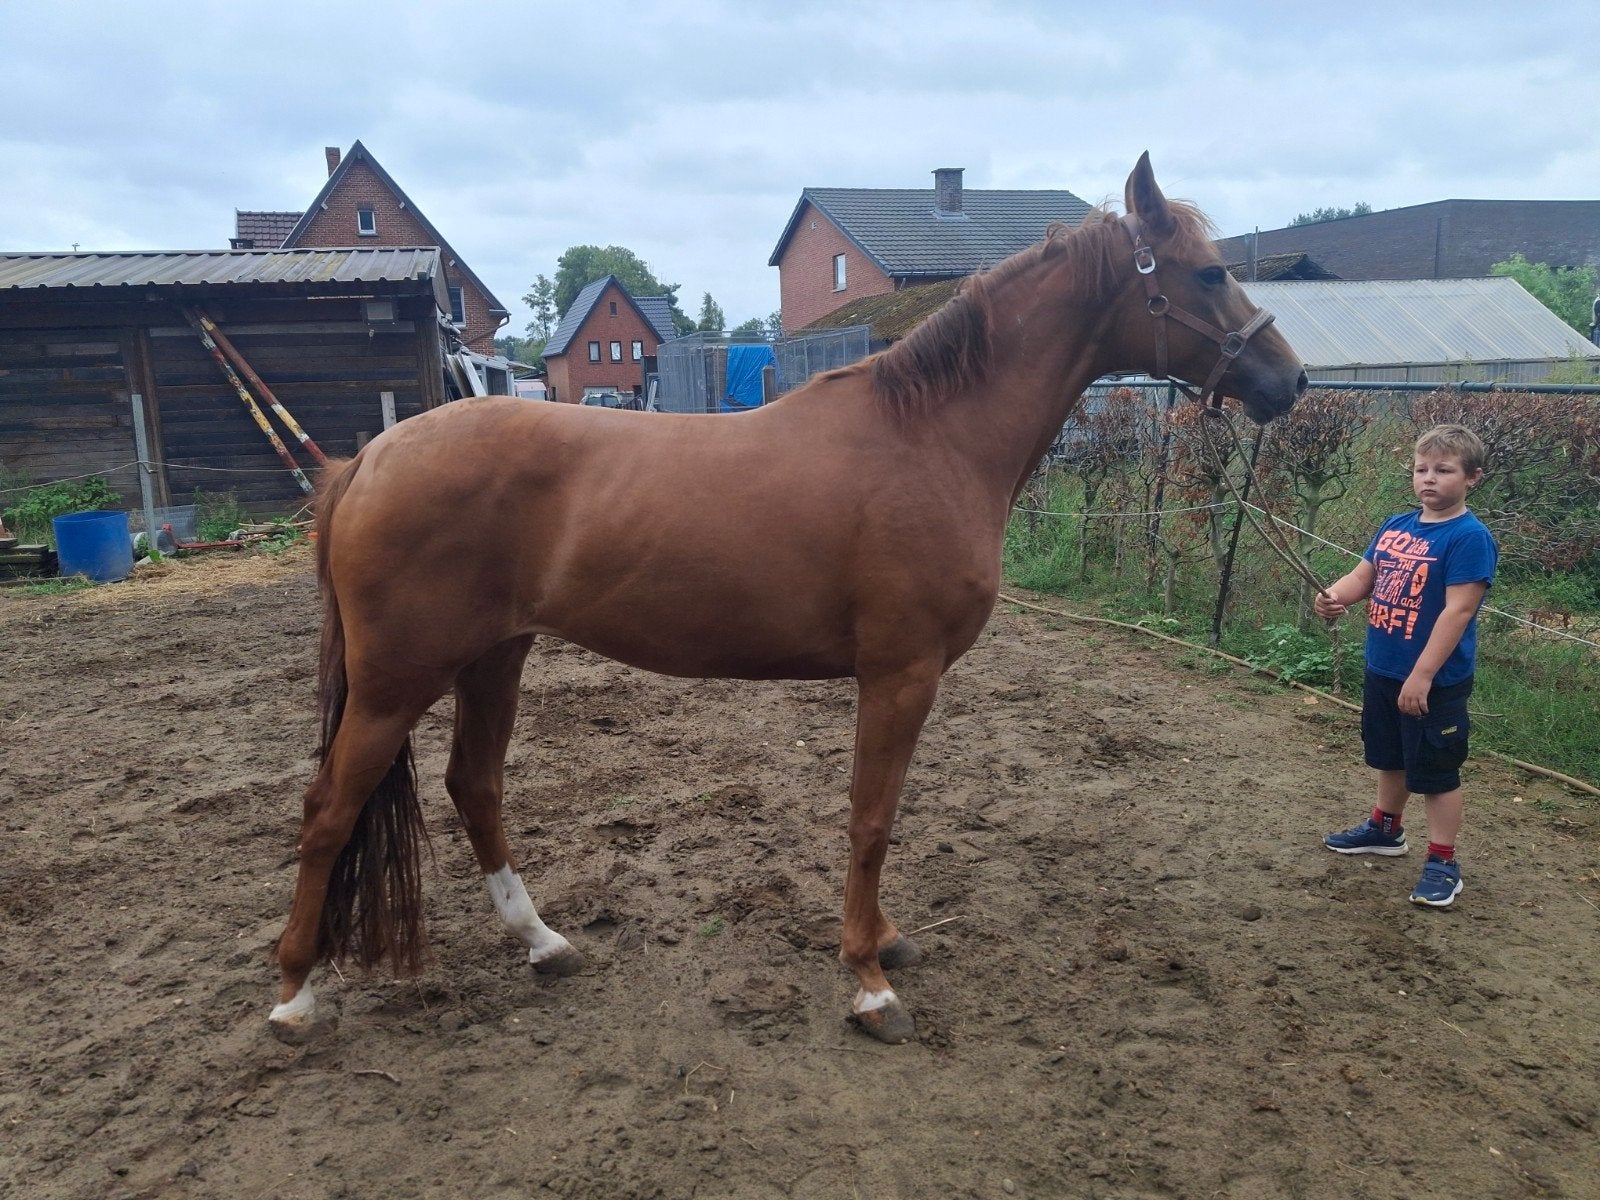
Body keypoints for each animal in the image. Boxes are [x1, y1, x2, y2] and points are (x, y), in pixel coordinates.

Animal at [269, 154, 1307, 1044]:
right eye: (1210, 273)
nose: (1289, 381)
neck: (930, 438)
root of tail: (365, 463)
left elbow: (878, 818)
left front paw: (883, 944)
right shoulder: (900, 674)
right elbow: (871, 819)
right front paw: (869, 981)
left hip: (494, 658)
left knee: (472, 787)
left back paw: (543, 943)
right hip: (400, 678)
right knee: (328, 809)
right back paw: (294, 997)